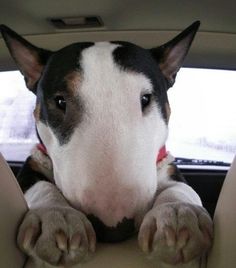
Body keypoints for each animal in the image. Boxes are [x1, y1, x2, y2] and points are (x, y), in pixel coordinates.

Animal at [0, 22, 213, 266]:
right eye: (60, 101)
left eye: (146, 98)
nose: (113, 226)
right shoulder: (33, 163)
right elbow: (39, 185)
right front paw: (56, 215)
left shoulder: (167, 166)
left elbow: (180, 188)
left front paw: (178, 213)